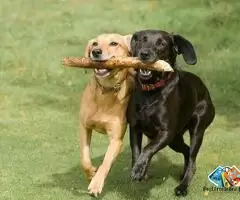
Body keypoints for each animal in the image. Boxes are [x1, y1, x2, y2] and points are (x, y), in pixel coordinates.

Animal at [126, 30, 215, 196]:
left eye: (161, 43)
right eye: (141, 40)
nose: (144, 54)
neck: (150, 91)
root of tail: (204, 87)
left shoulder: (166, 132)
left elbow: (148, 148)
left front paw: (139, 169)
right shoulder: (135, 128)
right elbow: (136, 151)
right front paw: (139, 169)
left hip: (197, 129)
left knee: (192, 159)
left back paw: (182, 186)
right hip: (175, 140)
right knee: (186, 150)